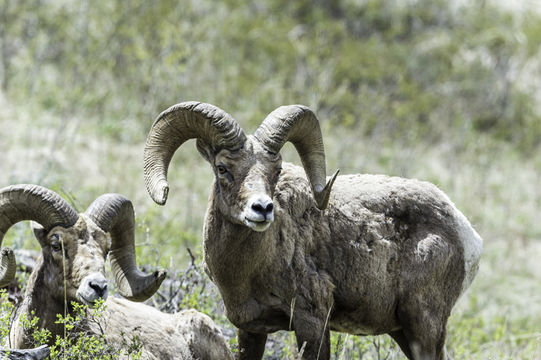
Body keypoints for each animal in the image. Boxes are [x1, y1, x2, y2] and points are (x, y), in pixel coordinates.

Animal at [142, 101, 480, 360]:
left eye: (276, 170)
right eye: (222, 168)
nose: (262, 209)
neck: (248, 271)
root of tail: (465, 233)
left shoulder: (313, 323)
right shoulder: (250, 329)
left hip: (424, 327)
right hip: (403, 332)